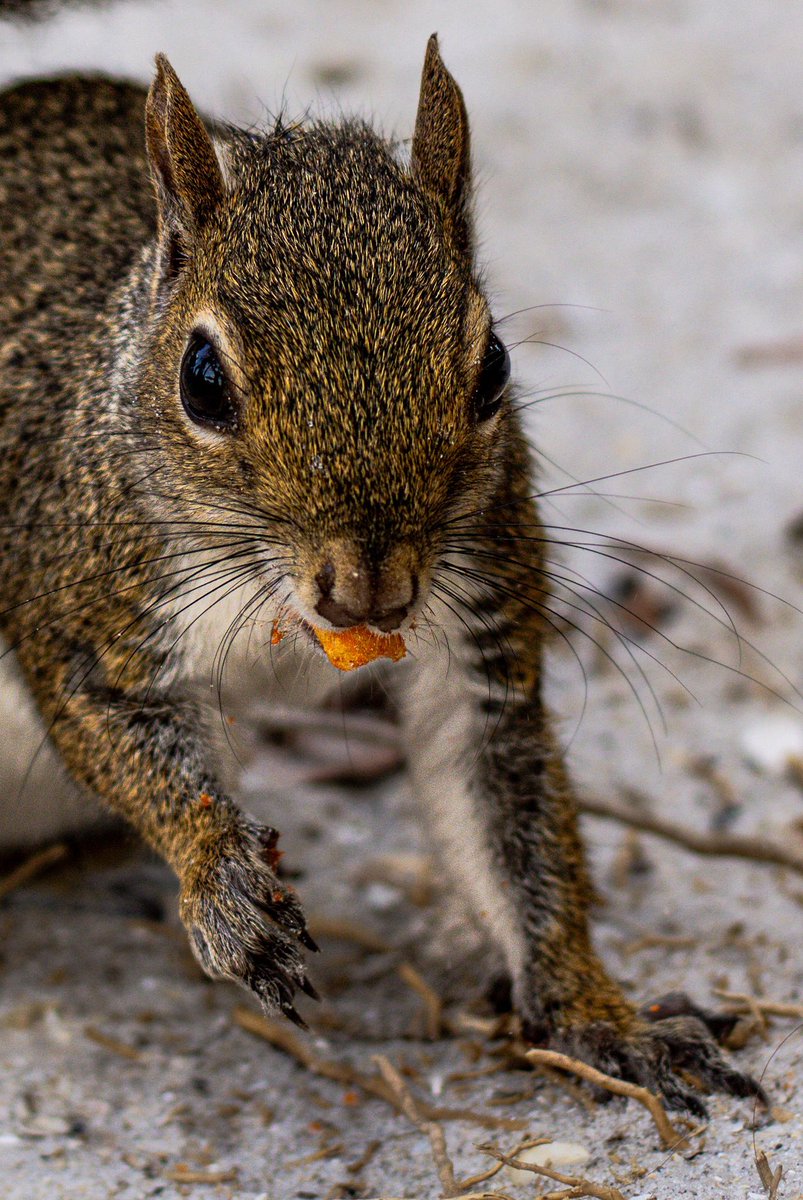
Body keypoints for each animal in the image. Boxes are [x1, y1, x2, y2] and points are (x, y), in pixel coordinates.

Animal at [0, 35, 763, 1113]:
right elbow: (124, 742)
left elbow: (505, 817)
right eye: (201, 378)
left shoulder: (477, 624)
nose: (368, 589)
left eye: (493, 367)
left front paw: (597, 1011)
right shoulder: (84, 600)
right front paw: (223, 883)